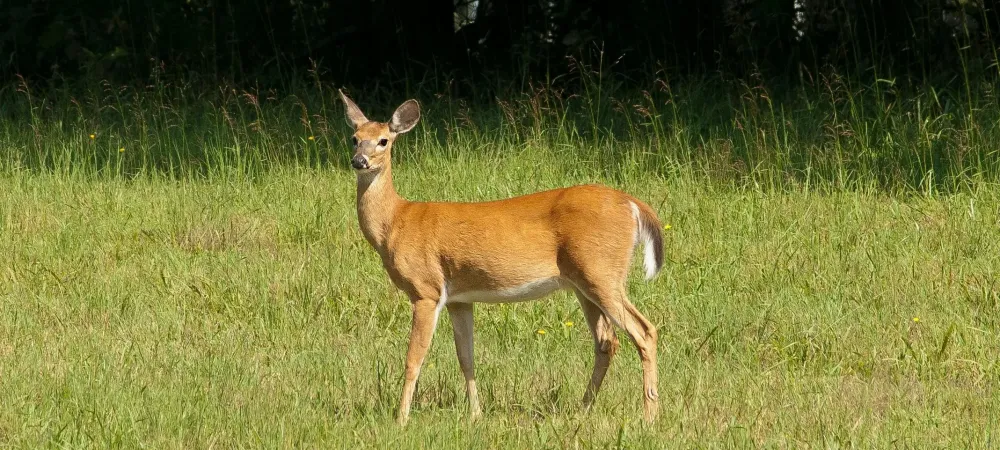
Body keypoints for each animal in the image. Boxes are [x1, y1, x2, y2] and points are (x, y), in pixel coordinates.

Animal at [340, 89, 668, 424]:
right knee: (606, 341)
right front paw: (476, 415)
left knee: (644, 331)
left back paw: (649, 415)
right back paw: (583, 408)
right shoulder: (459, 298)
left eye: (383, 140)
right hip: (583, 282)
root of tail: (633, 205)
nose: (359, 161)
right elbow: (466, 358)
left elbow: (413, 359)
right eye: (354, 138)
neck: (396, 222)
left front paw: (401, 419)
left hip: (601, 271)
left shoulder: (426, 289)